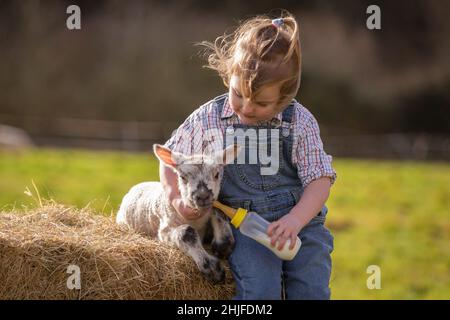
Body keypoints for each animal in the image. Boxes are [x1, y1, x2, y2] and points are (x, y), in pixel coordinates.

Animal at [118, 144, 241, 284]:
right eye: (182, 177)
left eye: (216, 175)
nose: (203, 196)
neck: (197, 221)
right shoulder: (164, 231)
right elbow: (186, 232)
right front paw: (212, 269)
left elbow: (219, 211)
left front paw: (221, 247)